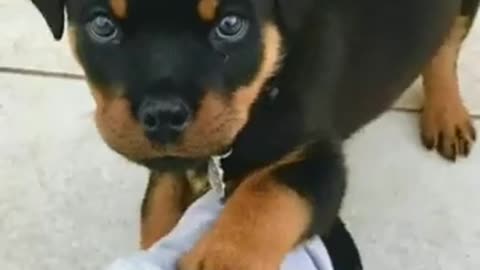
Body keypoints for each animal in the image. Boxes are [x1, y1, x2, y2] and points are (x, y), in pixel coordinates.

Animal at [31, 0, 478, 268]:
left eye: (230, 25)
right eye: (102, 25)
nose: (163, 115)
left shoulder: (317, 158)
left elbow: (268, 198)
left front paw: (220, 260)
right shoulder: (171, 167)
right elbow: (156, 216)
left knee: (446, 47)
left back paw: (447, 112)